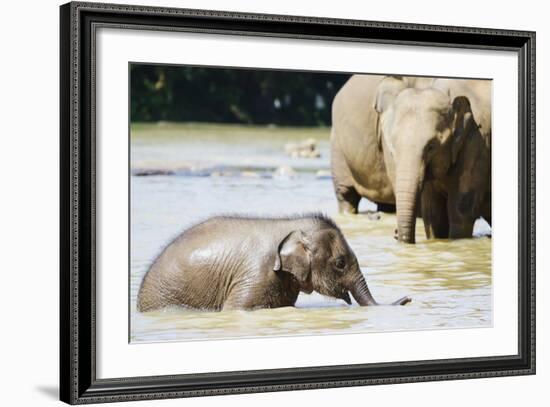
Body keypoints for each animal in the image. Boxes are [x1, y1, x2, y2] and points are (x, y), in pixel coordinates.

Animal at [330, 74, 494, 242]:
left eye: (431, 147)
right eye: (392, 148)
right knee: (346, 195)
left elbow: (460, 212)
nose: (395, 234)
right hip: (337, 146)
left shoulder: (477, 142)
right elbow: (434, 215)